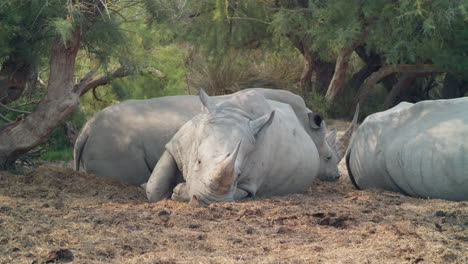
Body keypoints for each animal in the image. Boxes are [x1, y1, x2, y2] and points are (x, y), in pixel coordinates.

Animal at [146, 88, 322, 204]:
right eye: (198, 161)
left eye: (238, 174)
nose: (208, 201)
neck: (235, 112)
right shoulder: (175, 146)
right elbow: (153, 188)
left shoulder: (249, 184)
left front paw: (178, 192)